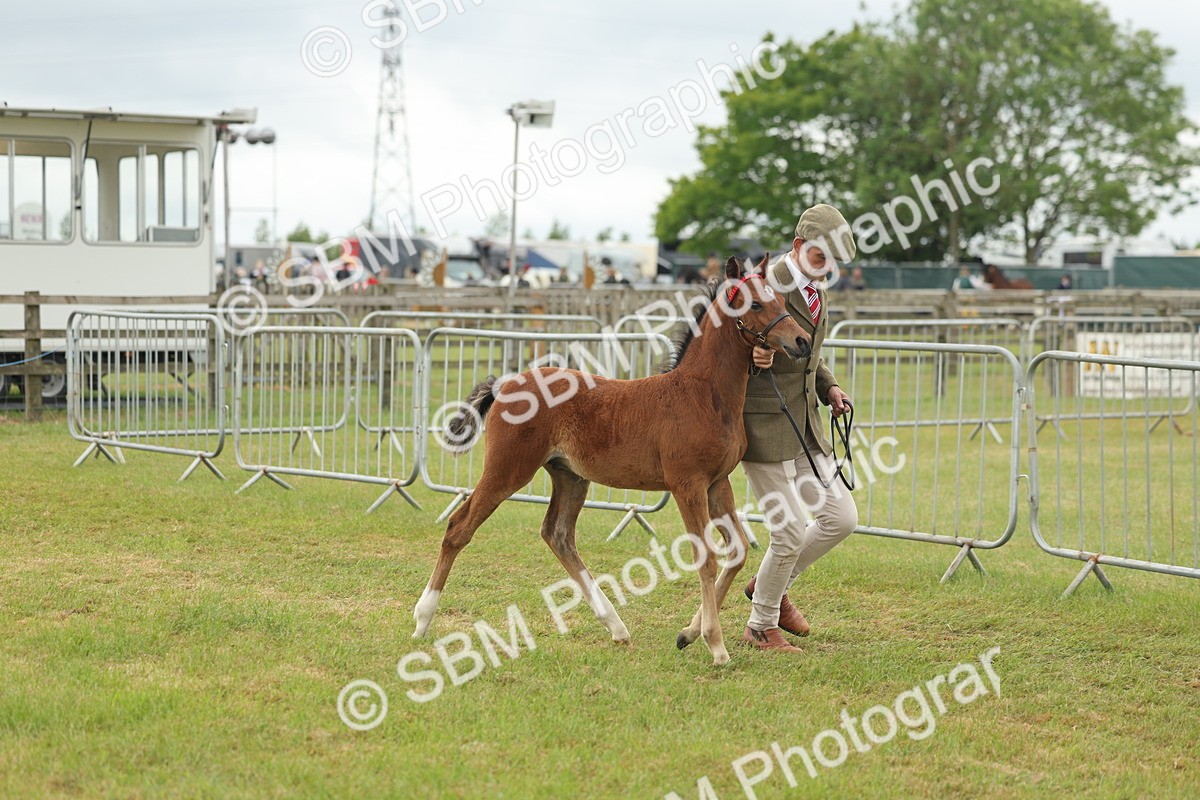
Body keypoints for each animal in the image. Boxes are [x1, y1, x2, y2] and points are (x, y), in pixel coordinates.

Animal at [411, 255, 812, 665]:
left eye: (779, 299)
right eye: (755, 304)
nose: (802, 340)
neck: (704, 393)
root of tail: (504, 384)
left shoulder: (718, 483)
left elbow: (738, 550)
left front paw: (688, 633)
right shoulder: (687, 484)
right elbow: (707, 557)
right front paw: (715, 645)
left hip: (570, 477)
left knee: (557, 534)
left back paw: (616, 626)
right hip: (508, 469)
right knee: (459, 527)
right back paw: (423, 619)